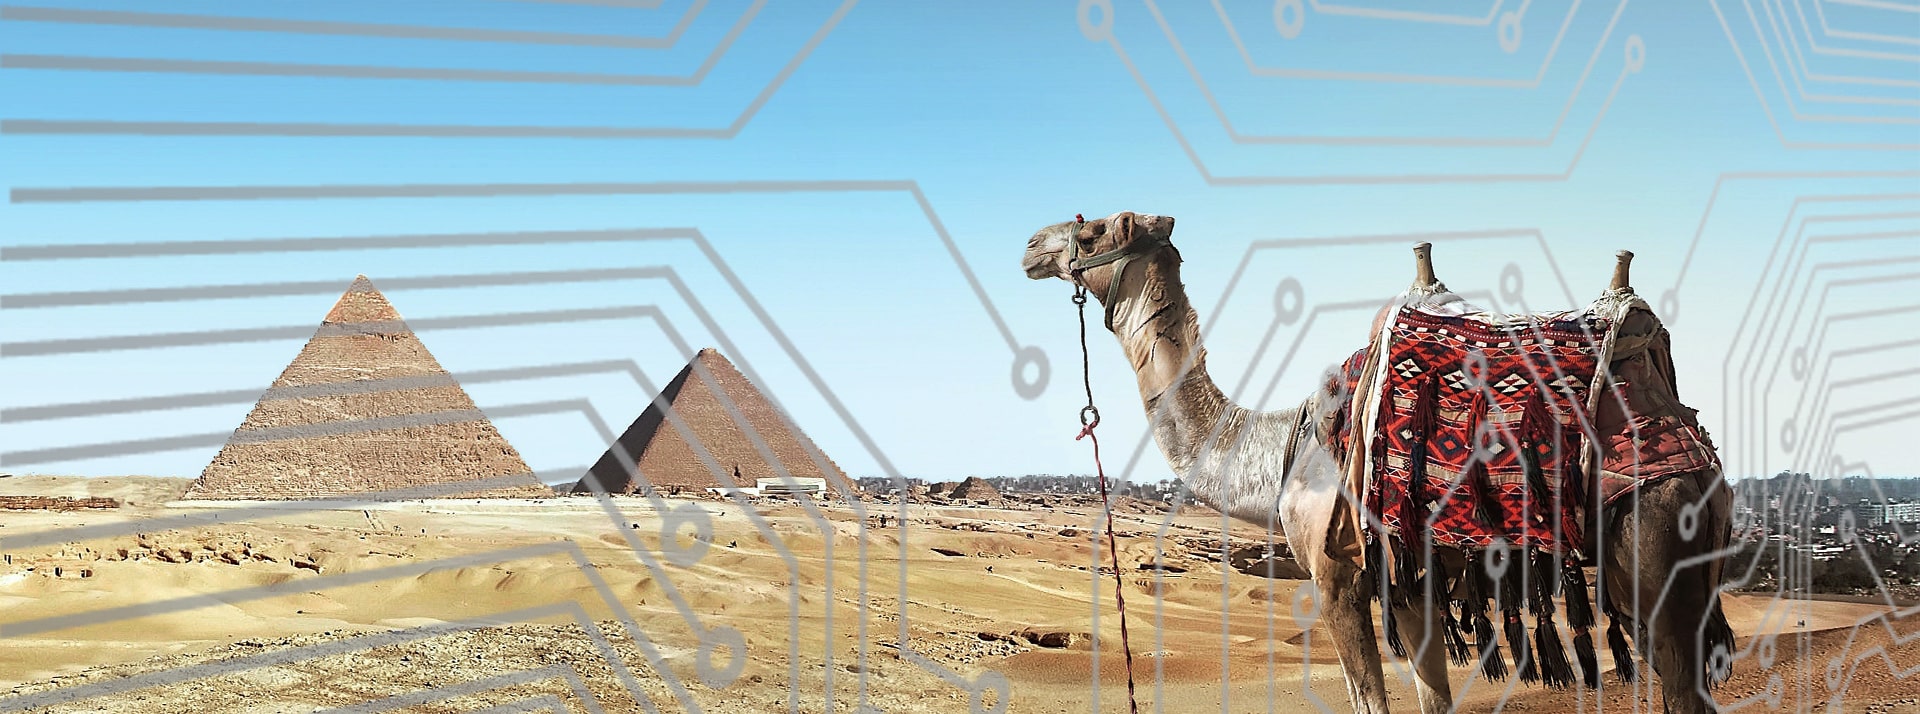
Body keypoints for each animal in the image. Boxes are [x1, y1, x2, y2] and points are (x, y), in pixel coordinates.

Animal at [1021, 212, 1735, 714]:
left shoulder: (1335, 573)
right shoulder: (1410, 578)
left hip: (1656, 539)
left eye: (1093, 227)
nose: (1031, 245)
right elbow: (1433, 697)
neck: (1276, 450)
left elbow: (1370, 697)